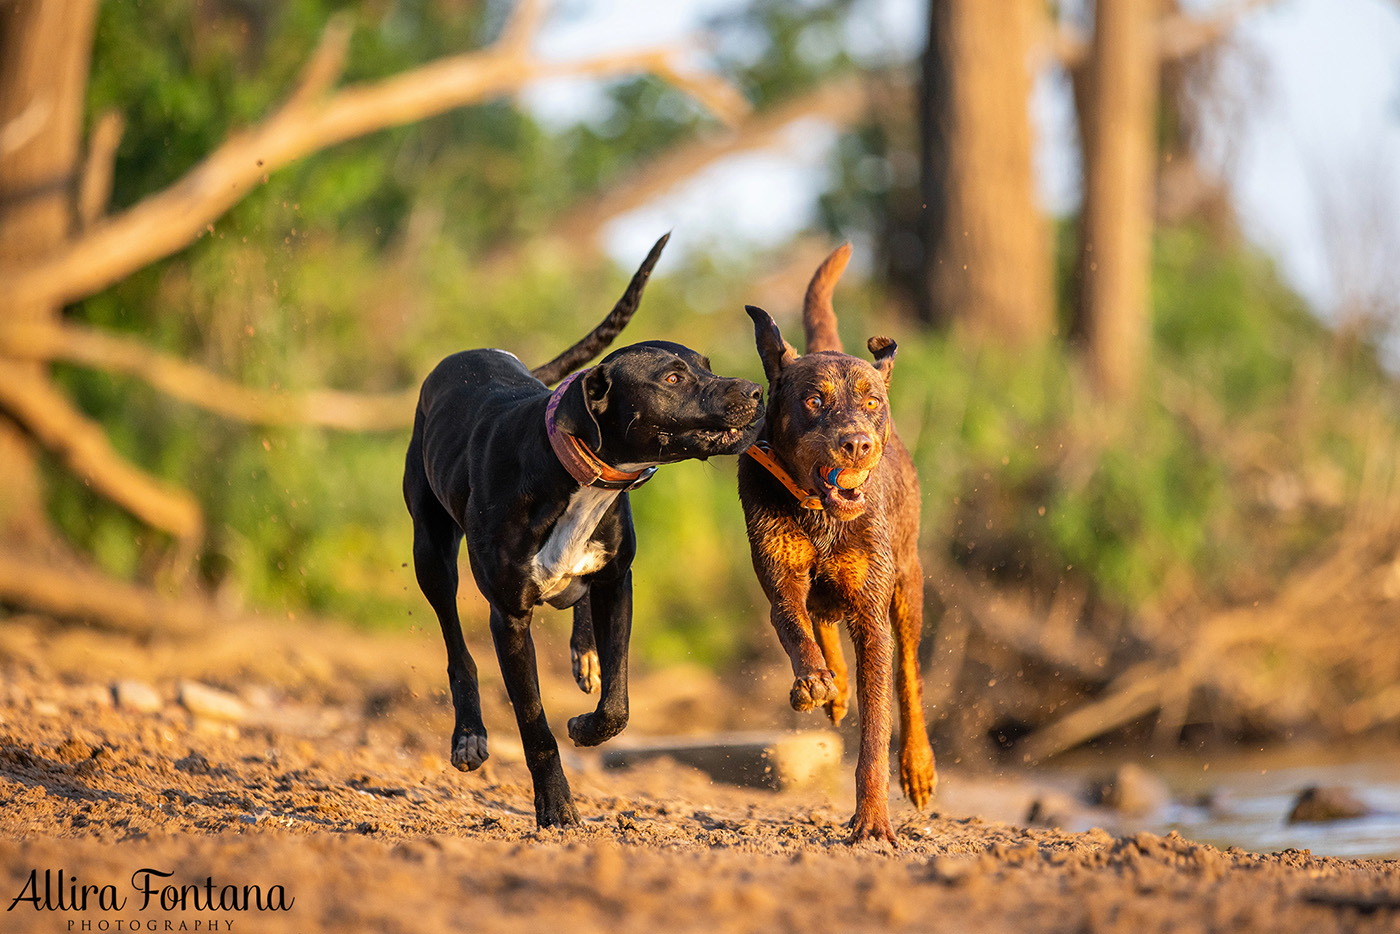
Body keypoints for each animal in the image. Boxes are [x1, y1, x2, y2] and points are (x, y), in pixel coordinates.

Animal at [400, 238, 761, 828]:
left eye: (707, 366)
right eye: (673, 378)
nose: (755, 391)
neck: (577, 470)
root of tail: (477, 353)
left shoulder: (618, 580)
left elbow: (617, 701)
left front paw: (588, 724)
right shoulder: (509, 619)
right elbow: (533, 723)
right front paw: (556, 806)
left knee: (577, 606)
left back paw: (583, 652)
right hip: (431, 553)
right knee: (456, 646)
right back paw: (468, 734)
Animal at [739, 245, 935, 845]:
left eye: (871, 403)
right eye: (814, 400)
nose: (857, 444)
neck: (822, 517)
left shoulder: (872, 612)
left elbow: (877, 726)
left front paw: (872, 820)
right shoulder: (780, 577)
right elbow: (794, 624)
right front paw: (815, 679)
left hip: (909, 584)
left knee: (911, 676)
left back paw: (918, 763)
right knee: (819, 616)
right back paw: (832, 683)